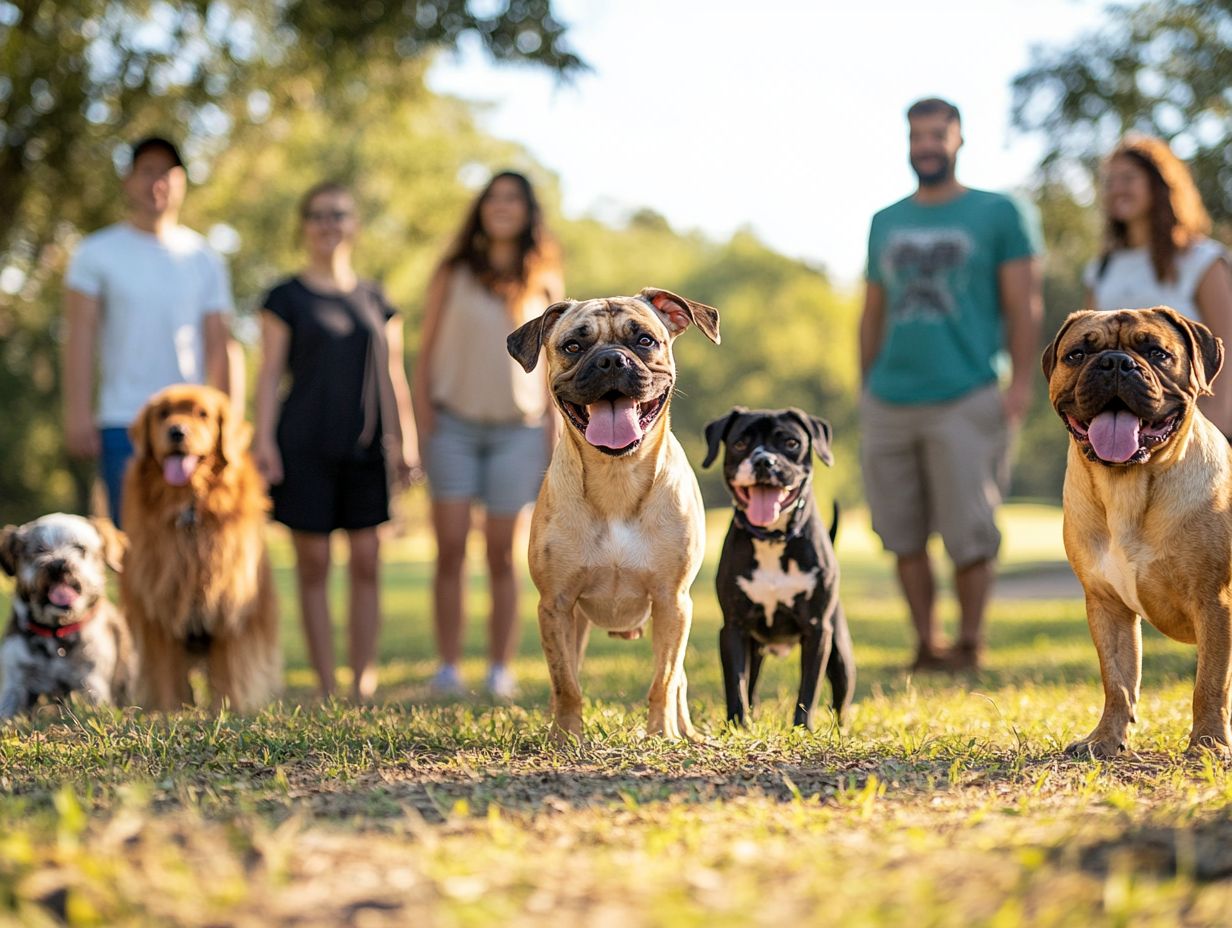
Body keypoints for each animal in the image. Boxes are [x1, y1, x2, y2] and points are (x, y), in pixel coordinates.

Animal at [0, 515, 134, 714]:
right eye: (39, 549)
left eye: (80, 548)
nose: (58, 565)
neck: (57, 633)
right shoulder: (16, 682)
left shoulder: (91, 682)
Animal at [121, 382, 279, 709]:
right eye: (163, 414)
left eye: (202, 414)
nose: (177, 431)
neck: (191, 511)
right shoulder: (159, 612)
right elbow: (166, 674)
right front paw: (169, 711)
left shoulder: (229, 610)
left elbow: (227, 673)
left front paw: (228, 709)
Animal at [704, 404, 857, 729]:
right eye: (739, 443)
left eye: (791, 443)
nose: (764, 460)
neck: (773, 538)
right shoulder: (734, 627)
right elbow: (736, 683)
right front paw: (738, 725)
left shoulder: (817, 630)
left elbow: (808, 687)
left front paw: (803, 728)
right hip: (755, 648)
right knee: (750, 685)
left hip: (840, 655)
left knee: (841, 700)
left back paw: (841, 730)